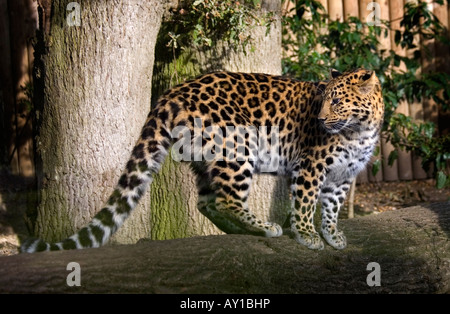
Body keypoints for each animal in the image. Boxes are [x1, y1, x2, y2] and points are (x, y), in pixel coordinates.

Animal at [22, 68, 384, 253]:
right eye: (323, 100)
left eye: (336, 101)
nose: (320, 120)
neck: (360, 130)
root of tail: (174, 91)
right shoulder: (311, 166)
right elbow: (306, 202)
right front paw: (308, 235)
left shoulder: (343, 177)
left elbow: (332, 207)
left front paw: (332, 234)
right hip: (238, 145)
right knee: (226, 200)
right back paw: (265, 227)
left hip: (207, 154)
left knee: (207, 202)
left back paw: (248, 230)